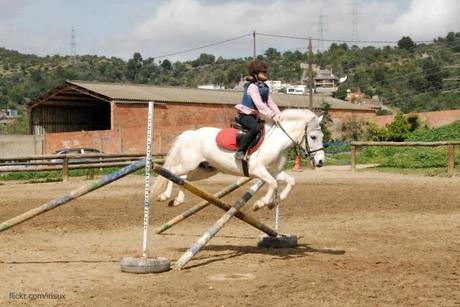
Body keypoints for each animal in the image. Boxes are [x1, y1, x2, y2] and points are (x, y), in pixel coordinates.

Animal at [151, 109, 324, 212]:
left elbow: (290, 181)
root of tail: (190, 134)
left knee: (183, 178)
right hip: (190, 164)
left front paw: (275, 202)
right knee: (173, 171)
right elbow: (273, 183)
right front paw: (262, 203)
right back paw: (165, 196)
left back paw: (178, 200)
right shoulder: (258, 170)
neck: (277, 141)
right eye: (313, 137)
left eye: (322, 136)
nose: (321, 162)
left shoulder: (274, 171)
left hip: (203, 170)